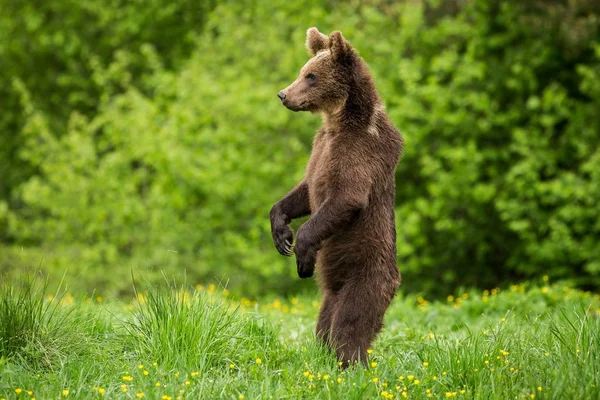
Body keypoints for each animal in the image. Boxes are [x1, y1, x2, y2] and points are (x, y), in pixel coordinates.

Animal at [270, 26, 404, 368]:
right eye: (302, 71)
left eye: (312, 76)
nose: (283, 94)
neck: (339, 120)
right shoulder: (321, 149)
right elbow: (305, 190)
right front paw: (281, 234)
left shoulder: (359, 151)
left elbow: (346, 198)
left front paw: (302, 254)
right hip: (330, 292)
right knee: (325, 324)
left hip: (366, 275)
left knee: (349, 323)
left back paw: (349, 362)